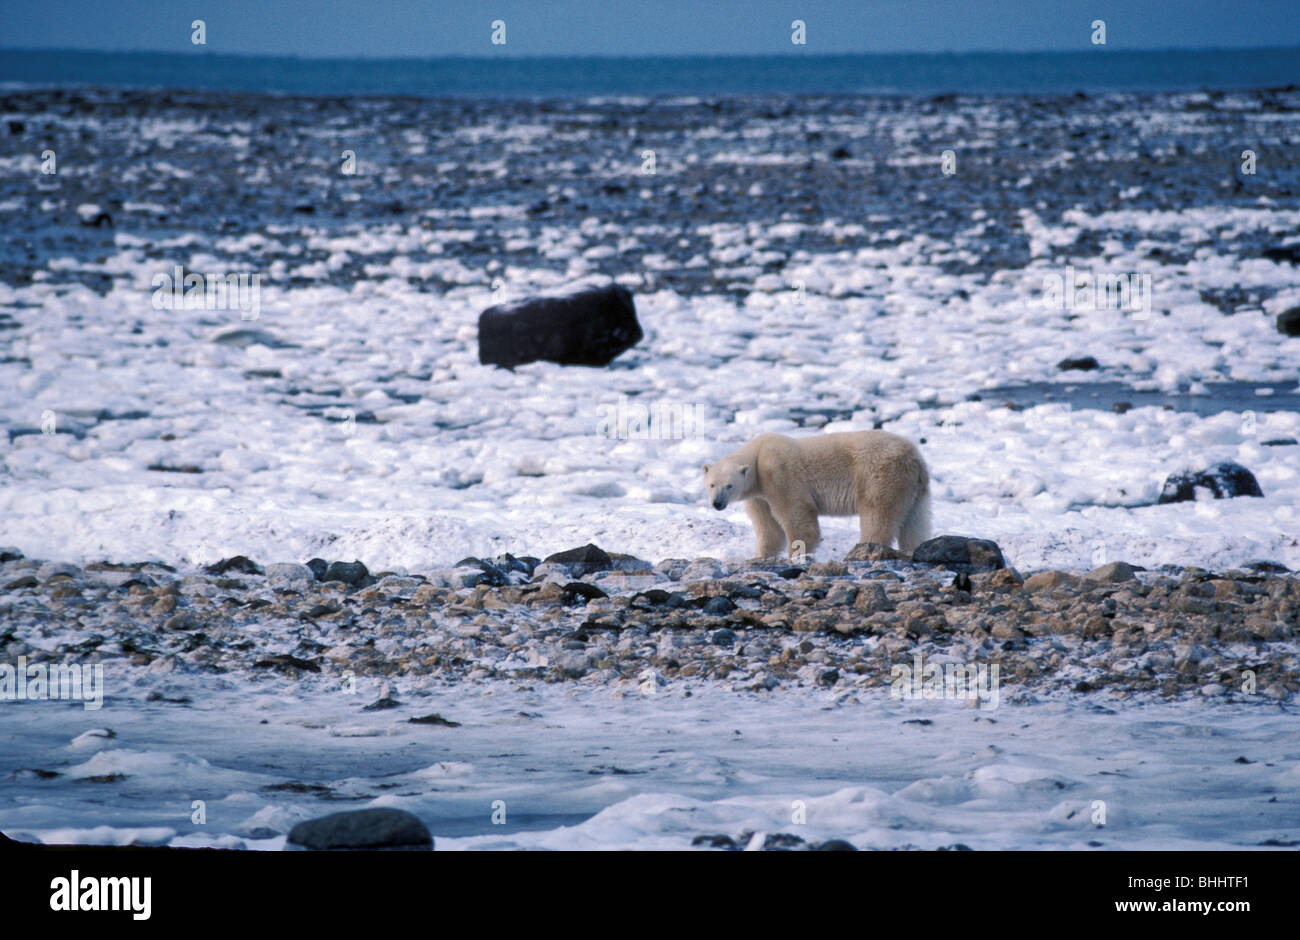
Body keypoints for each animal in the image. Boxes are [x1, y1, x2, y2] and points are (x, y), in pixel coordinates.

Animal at [707, 431, 930, 559]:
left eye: (729, 485)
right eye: (711, 484)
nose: (717, 503)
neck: (758, 454)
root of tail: (914, 458)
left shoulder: (779, 473)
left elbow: (798, 516)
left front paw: (795, 555)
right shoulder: (759, 495)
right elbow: (768, 528)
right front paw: (759, 557)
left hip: (879, 476)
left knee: (877, 514)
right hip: (915, 490)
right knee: (914, 524)